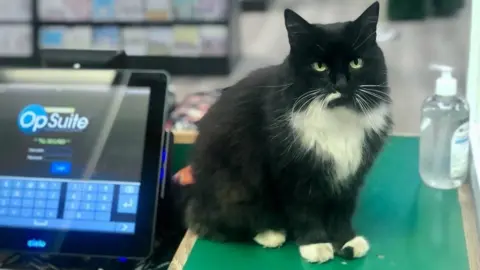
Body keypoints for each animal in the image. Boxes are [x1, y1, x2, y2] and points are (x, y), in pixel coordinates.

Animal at [182, 1, 392, 264]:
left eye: (356, 62)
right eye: (319, 66)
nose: (341, 84)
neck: (335, 119)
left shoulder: (350, 175)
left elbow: (342, 211)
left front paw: (346, 241)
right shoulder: (292, 175)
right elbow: (304, 211)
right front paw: (315, 244)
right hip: (233, 187)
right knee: (217, 224)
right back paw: (271, 233)